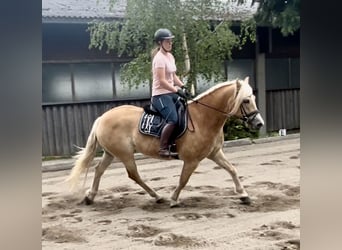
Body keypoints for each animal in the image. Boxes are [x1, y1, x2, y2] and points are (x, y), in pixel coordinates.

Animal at [67, 75, 264, 207]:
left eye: (253, 98)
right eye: (246, 100)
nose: (259, 123)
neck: (204, 117)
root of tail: (102, 117)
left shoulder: (215, 153)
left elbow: (232, 169)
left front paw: (244, 195)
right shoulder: (192, 160)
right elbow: (183, 180)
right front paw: (174, 199)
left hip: (111, 153)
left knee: (99, 170)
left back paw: (90, 197)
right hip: (124, 154)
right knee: (133, 175)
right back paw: (157, 196)